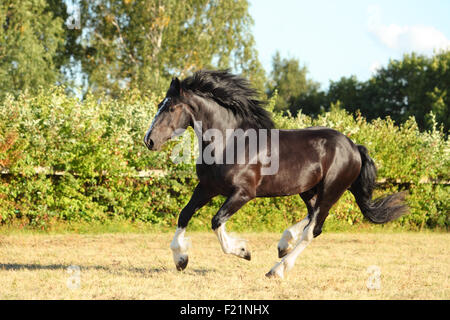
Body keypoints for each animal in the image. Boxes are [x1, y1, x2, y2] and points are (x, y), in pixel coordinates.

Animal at [144, 69, 408, 278]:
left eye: (171, 107)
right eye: (159, 105)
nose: (149, 140)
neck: (229, 142)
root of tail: (354, 146)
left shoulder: (243, 193)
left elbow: (216, 221)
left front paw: (243, 251)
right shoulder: (207, 188)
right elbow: (184, 214)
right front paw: (181, 260)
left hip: (331, 190)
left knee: (313, 229)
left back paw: (277, 269)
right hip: (308, 190)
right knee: (311, 216)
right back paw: (284, 244)